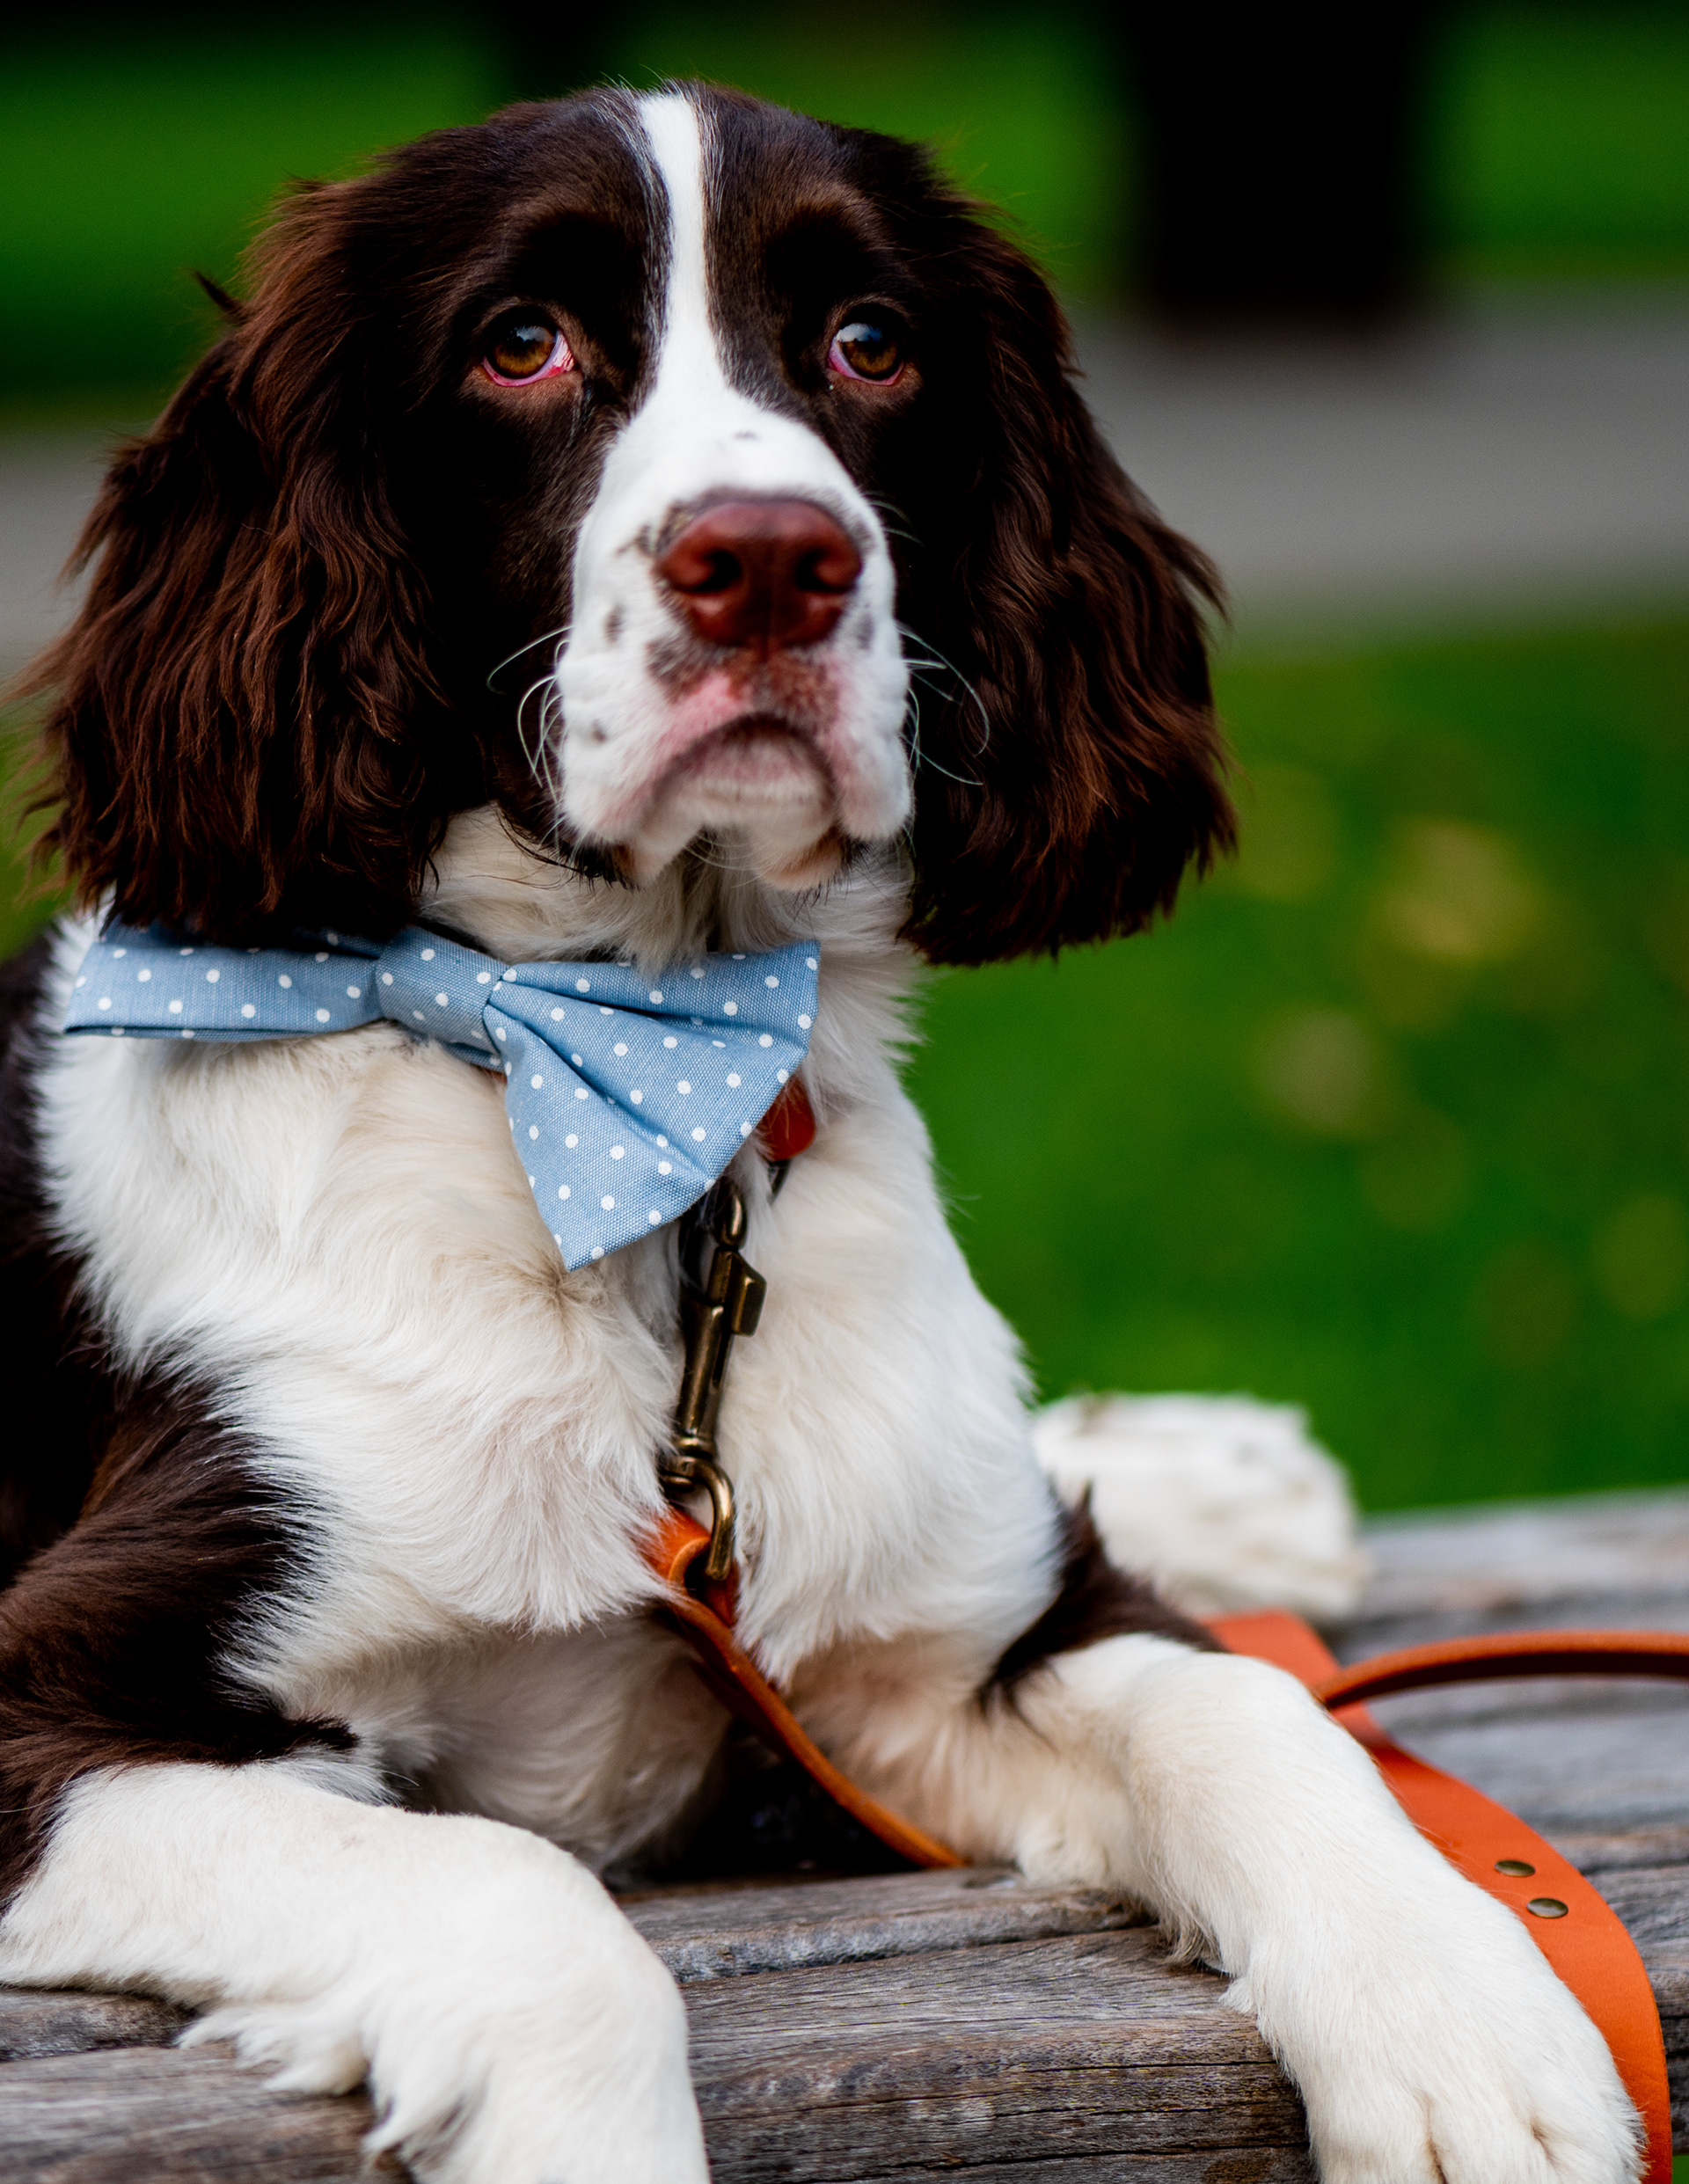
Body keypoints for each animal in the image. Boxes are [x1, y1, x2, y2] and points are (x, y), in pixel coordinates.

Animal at [0, 83, 1638, 2184]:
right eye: (519, 341)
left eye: (871, 340)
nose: (770, 561)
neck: (635, 1110)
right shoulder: (60, 1686)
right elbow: (531, 1904)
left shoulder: (941, 1665)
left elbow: (1247, 1711)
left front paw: (1464, 2027)